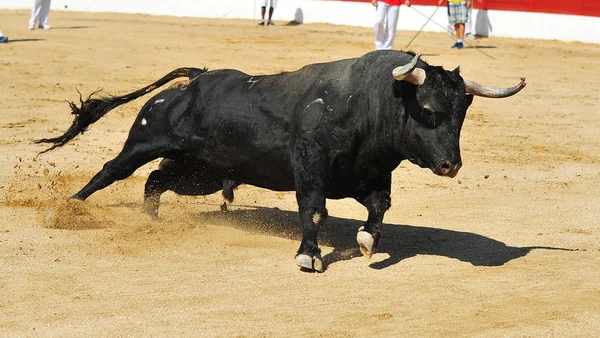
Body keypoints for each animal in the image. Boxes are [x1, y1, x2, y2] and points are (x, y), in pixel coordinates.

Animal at [37, 50, 524, 272]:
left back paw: (151, 221)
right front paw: (308, 257)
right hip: (146, 139)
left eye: (461, 114)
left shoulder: (372, 175)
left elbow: (379, 209)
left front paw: (367, 243)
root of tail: (195, 81)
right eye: (428, 110)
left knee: (155, 180)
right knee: (112, 171)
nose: (450, 165)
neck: (369, 105)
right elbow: (314, 210)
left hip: (204, 171)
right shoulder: (310, 169)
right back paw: (64, 211)